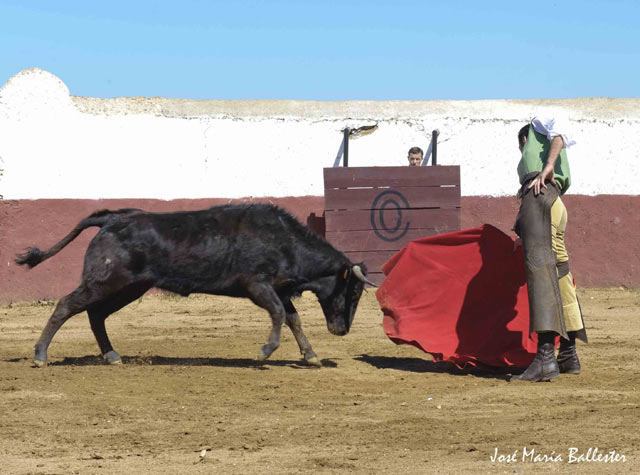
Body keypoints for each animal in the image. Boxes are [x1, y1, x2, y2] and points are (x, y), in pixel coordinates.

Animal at [13, 205, 376, 368]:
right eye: (354, 292)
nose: (342, 330)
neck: (286, 241)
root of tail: (113, 218)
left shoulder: (280, 290)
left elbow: (292, 318)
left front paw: (311, 356)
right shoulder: (257, 286)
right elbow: (277, 314)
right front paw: (265, 351)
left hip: (129, 287)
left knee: (96, 315)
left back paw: (112, 355)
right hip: (106, 282)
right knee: (66, 305)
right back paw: (40, 356)